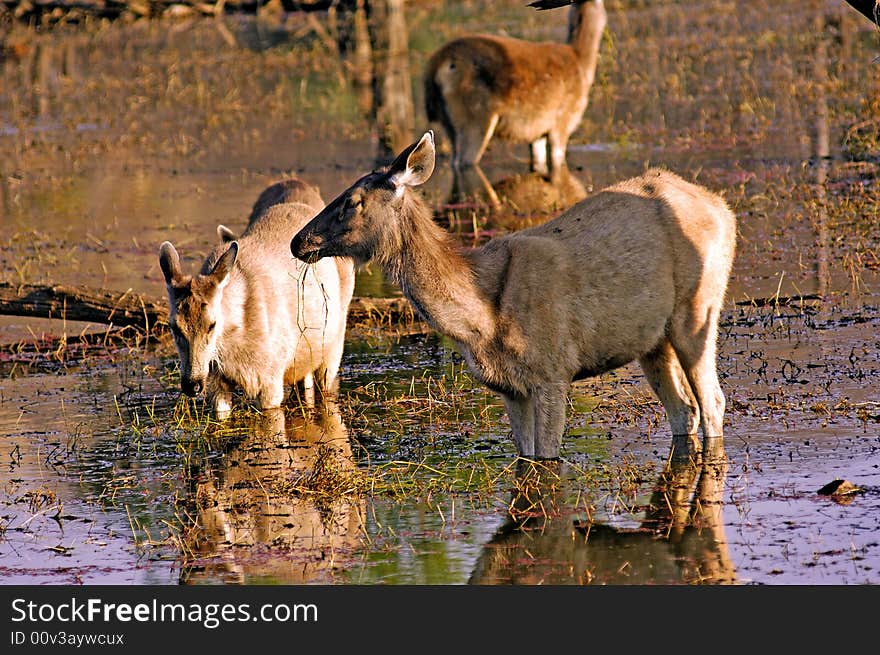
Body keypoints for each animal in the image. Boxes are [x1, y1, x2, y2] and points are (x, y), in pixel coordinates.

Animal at [158, 177, 354, 418]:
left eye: (212, 324)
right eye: (174, 327)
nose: (192, 385)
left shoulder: (271, 377)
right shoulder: (216, 382)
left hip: (334, 343)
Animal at [292, 132, 740, 462]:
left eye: (352, 201)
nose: (299, 242)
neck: (482, 319)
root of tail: (724, 208)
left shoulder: (553, 370)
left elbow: (546, 460)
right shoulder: (511, 388)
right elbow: (525, 457)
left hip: (699, 308)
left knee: (713, 402)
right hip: (651, 340)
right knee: (683, 409)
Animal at [424, 0, 604, 179]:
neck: (582, 63)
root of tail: (435, 66)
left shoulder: (538, 132)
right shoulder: (562, 121)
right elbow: (558, 161)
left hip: (449, 123)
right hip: (474, 117)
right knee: (464, 161)